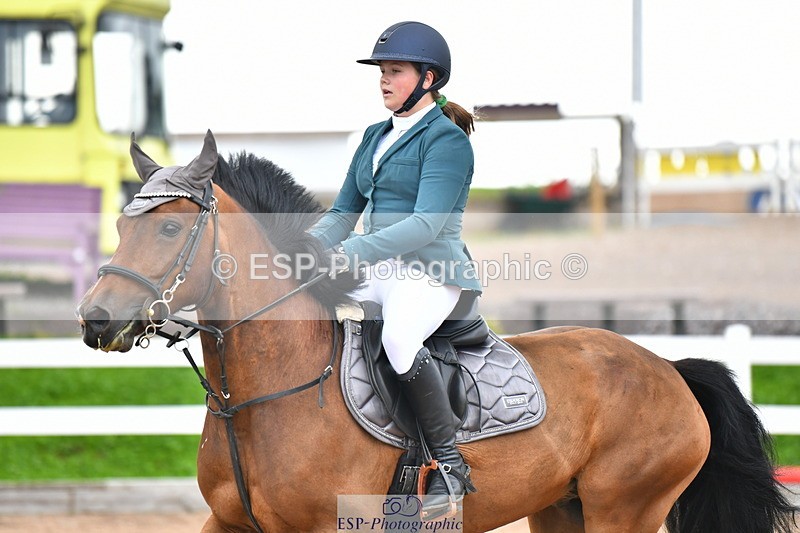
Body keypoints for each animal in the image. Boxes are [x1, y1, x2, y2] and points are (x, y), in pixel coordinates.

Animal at [77, 132, 796, 532]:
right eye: (119, 223)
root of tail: (670, 368)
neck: (262, 400)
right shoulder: (225, 522)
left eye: (171, 228)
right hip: (560, 509)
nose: (95, 320)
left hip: (625, 508)